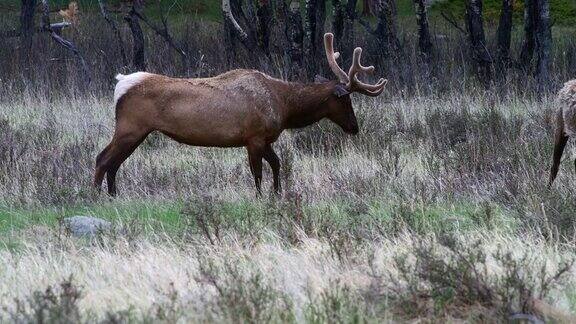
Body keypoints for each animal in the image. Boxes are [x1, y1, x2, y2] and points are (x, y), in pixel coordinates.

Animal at [94, 33, 388, 195]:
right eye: (346, 99)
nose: (354, 127)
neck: (284, 107)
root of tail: (120, 84)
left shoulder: (264, 139)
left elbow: (277, 164)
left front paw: (277, 194)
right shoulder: (253, 136)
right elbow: (257, 173)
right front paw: (260, 197)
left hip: (137, 132)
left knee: (114, 162)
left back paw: (113, 195)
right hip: (131, 127)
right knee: (103, 158)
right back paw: (96, 195)